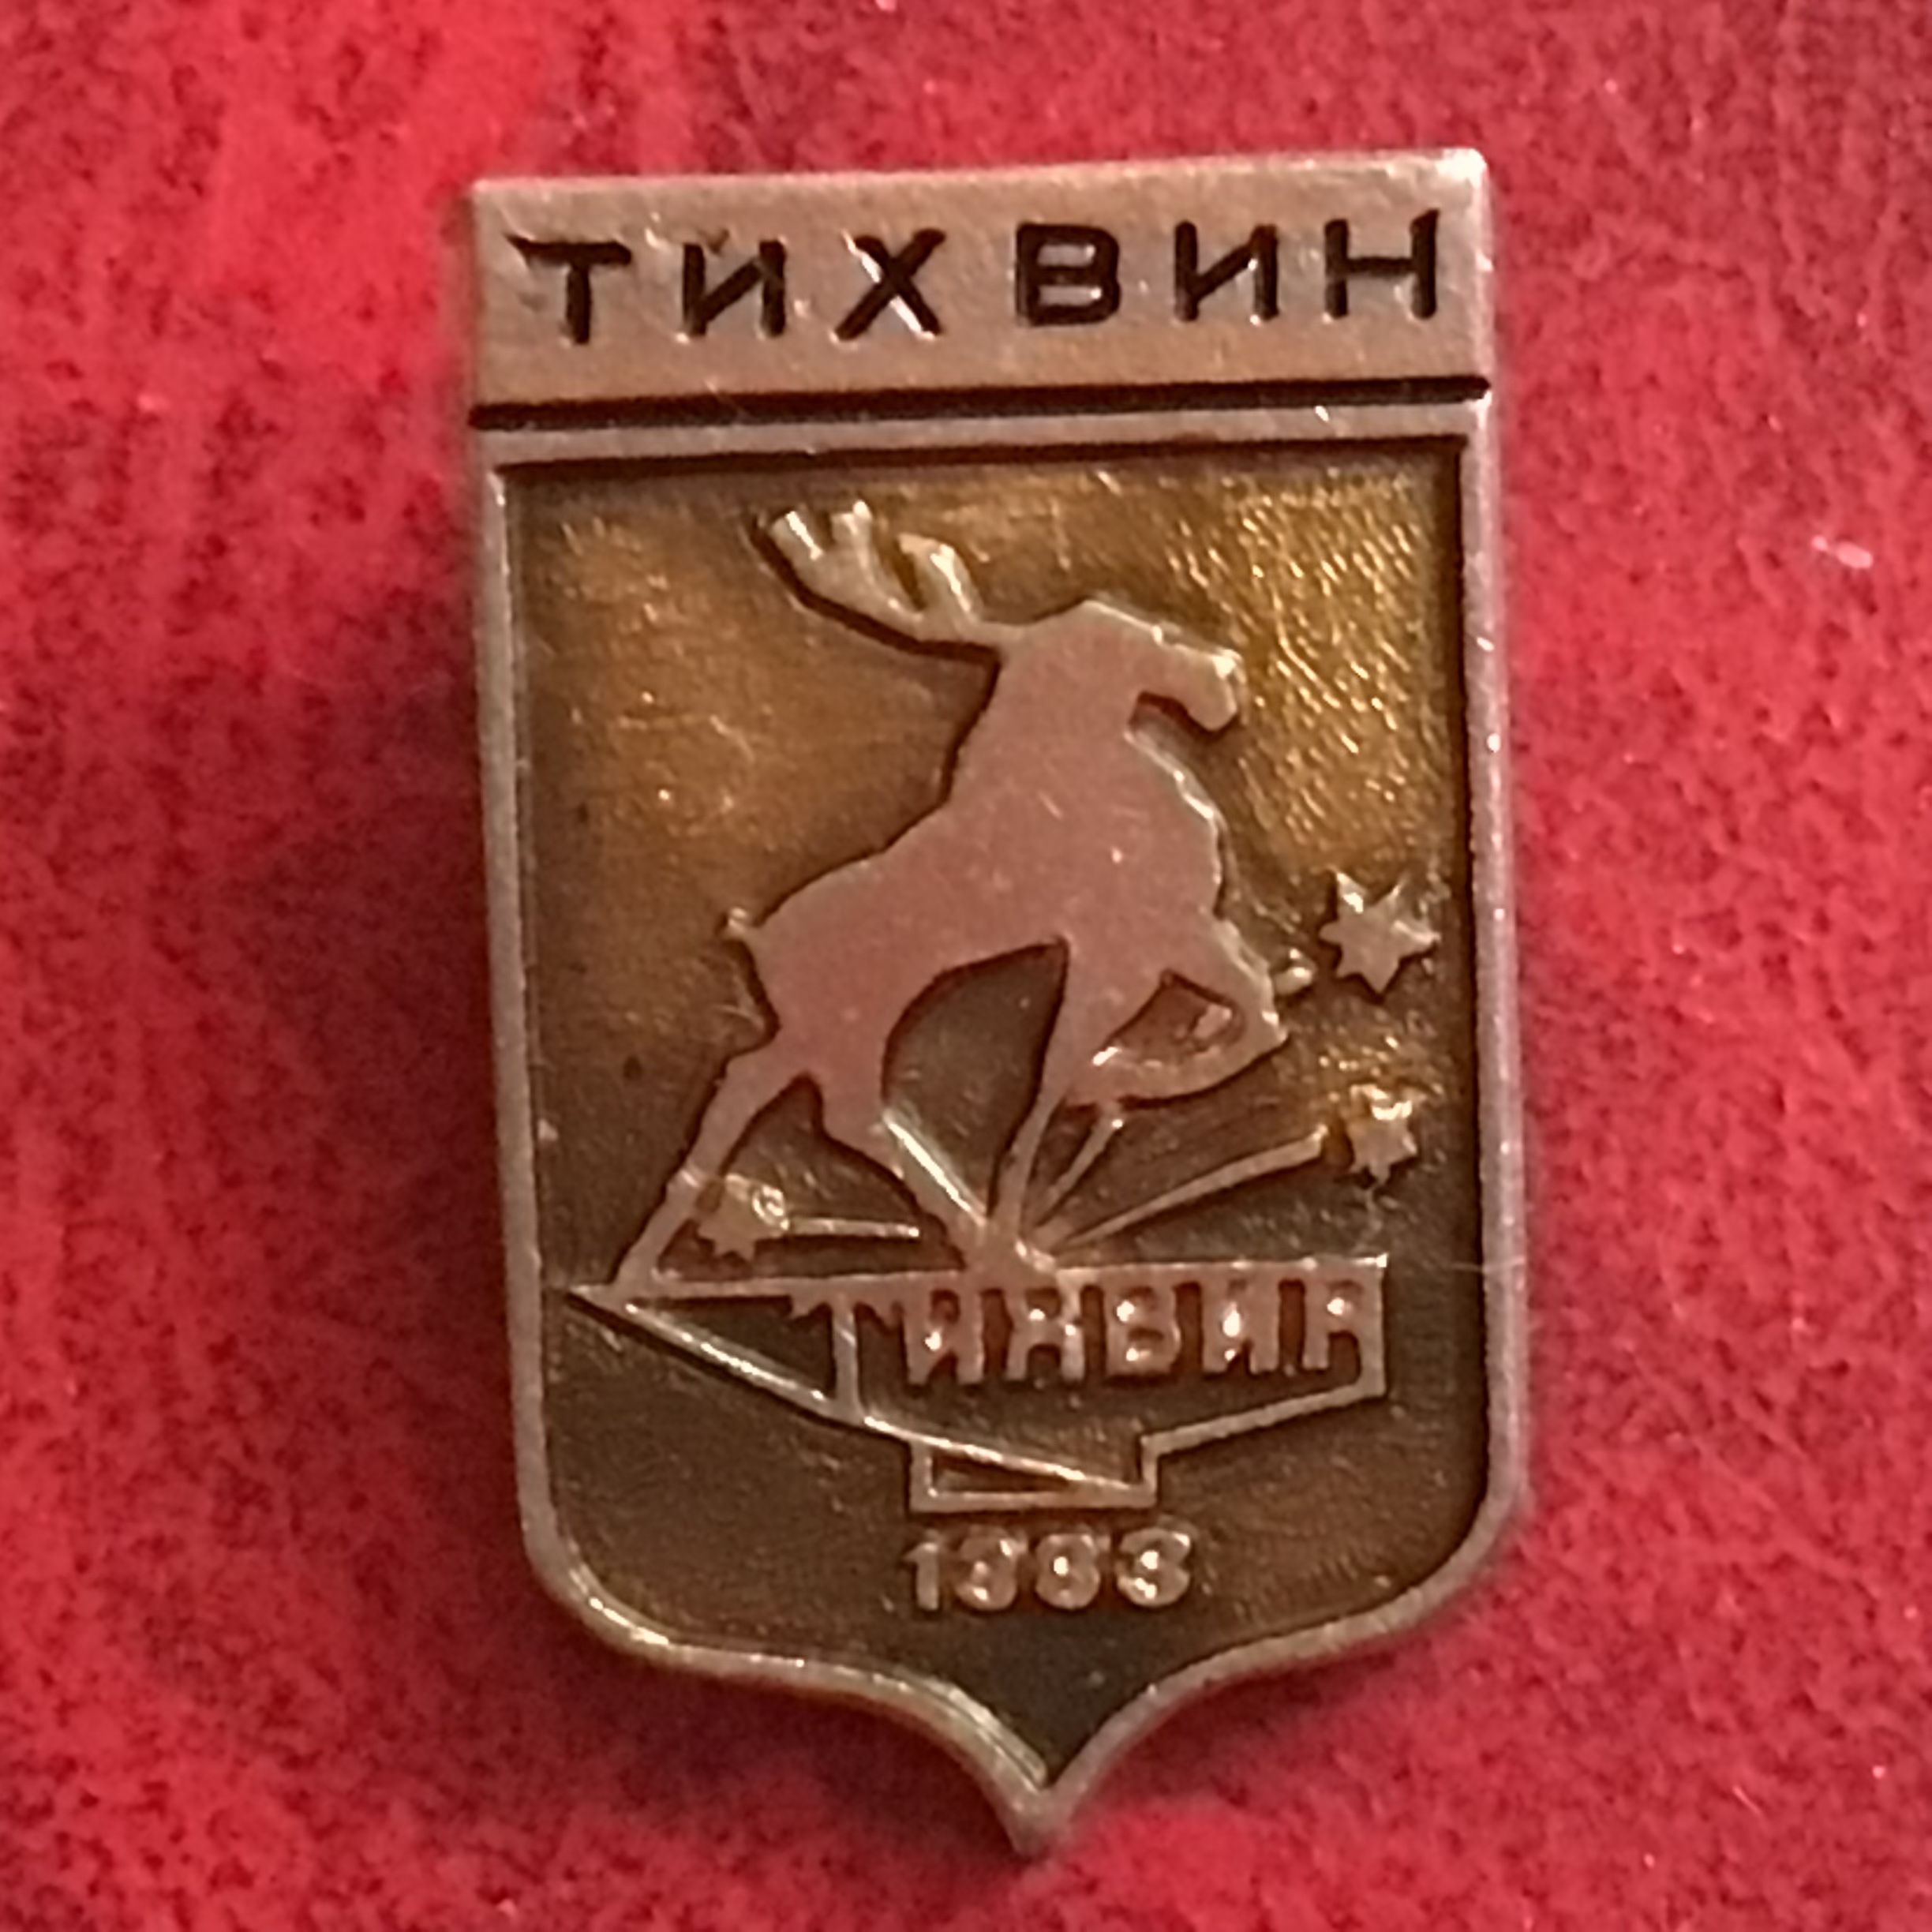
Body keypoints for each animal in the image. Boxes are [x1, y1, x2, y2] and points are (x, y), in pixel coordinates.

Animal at [612, 502, 1296, 1288]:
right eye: (1124, 639)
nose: (1219, 678)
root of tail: (755, 938)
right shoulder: (1145, 939)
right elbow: (1219, 1027)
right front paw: (1104, 1092)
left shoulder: (1162, 938)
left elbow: (1228, 1018)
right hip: (846, 1025)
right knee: (842, 1112)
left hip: (812, 1032)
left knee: (752, 1088)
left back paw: (642, 1268)